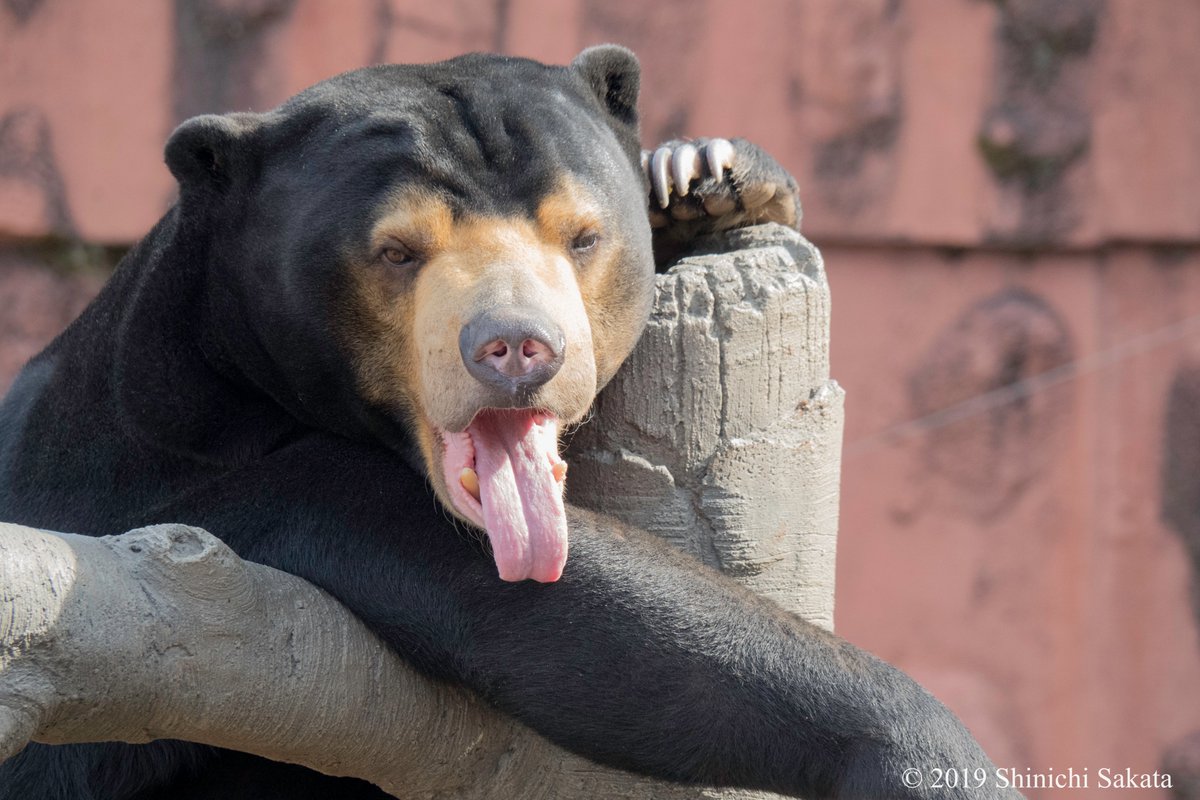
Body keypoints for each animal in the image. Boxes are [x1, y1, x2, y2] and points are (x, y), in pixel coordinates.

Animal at [0, 48, 1017, 800]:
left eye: (583, 235)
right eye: (396, 251)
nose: (520, 348)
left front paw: (705, 175)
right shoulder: (211, 481)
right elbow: (581, 617)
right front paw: (927, 758)